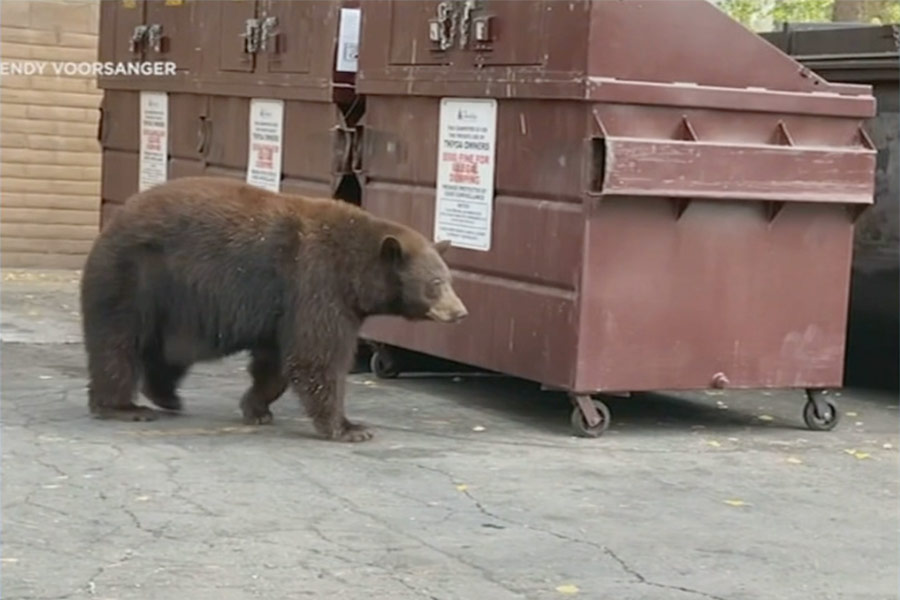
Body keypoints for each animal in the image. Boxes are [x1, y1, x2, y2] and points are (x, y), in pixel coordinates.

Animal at [79, 176, 467, 442]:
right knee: (117, 344)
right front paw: (350, 427)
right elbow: (317, 356)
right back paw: (123, 407)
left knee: (167, 354)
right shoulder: (317, 282)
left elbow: (276, 362)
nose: (460, 312)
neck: (353, 270)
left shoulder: (285, 307)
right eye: (436, 283)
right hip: (135, 279)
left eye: (450, 278)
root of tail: (111, 221)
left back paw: (166, 396)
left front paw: (257, 409)